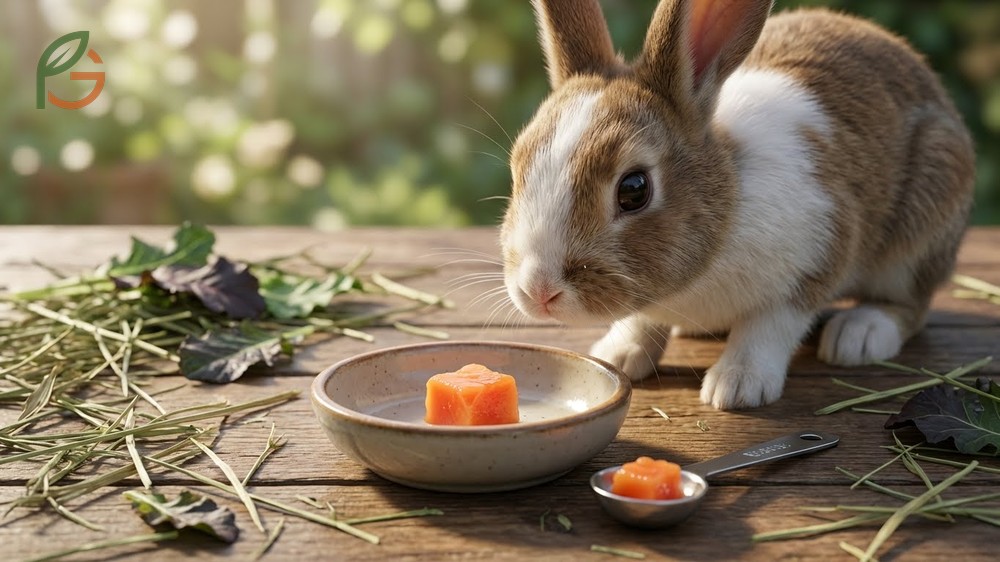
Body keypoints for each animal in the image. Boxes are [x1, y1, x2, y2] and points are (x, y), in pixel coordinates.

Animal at [499, 0, 975, 410]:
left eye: (634, 190)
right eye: (517, 166)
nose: (539, 291)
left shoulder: (819, 252)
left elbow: (769, 326)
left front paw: (737, 385)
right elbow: (641, 321)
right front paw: (618, 356)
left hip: (920, 229)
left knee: (911, 305)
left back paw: (859, 335)